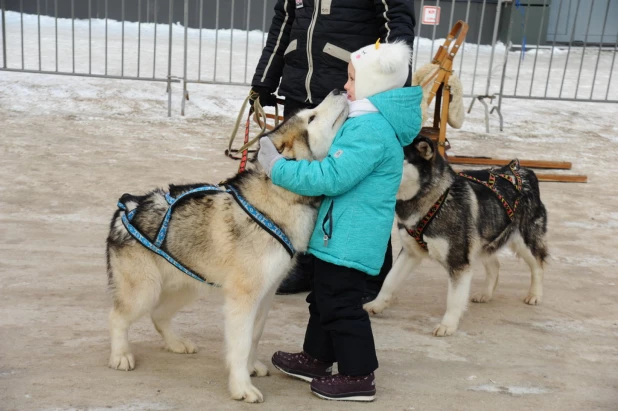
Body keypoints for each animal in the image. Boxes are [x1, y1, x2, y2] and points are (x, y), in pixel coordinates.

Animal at [364, 137, 548, 336]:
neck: (434, 202)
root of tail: (521, 170)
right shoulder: (409, 252)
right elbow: (389, 280)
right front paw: (376, 304)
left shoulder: (458, 261)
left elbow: (453, 299)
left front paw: (448, 325)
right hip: (482, 242)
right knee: (495, 266)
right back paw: (486, 294)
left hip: (524, 240)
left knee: (537, 266)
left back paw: (535, 294)